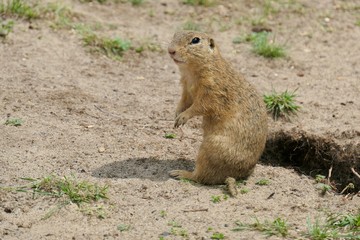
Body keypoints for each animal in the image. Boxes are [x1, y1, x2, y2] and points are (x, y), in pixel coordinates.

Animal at [167, 31, 266, 189]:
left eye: (195, 40)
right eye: (175, 34)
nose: (170, 50)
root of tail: (239, 175)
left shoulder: (213, 90)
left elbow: (200, 106)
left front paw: (183, 117)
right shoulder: (186, 88)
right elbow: (184, 102)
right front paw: (176, 114)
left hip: (210, 148)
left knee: (201, 177)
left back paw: (181, 173)